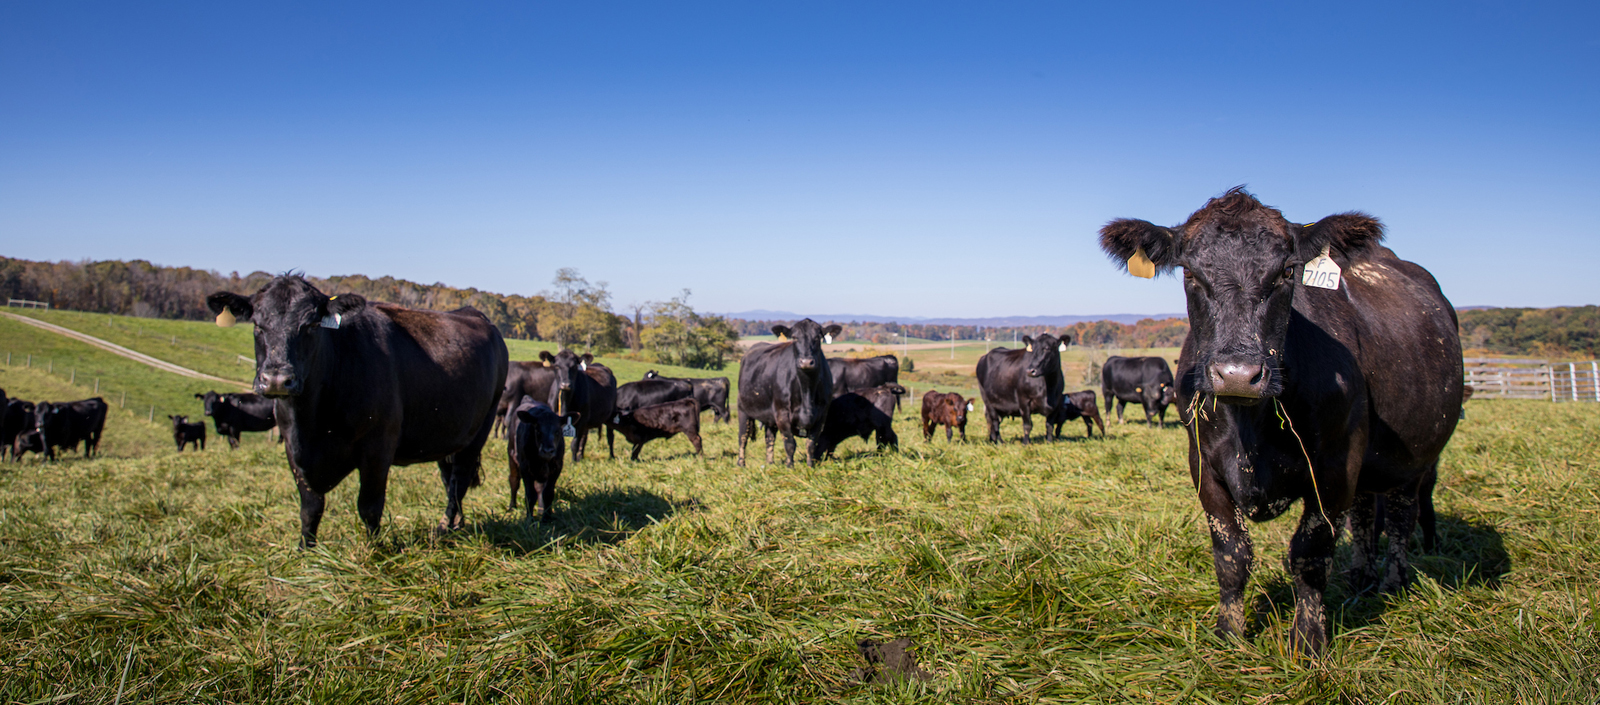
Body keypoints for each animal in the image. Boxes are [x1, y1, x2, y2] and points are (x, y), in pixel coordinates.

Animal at [207, 274, 508, 547]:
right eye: (257, 325)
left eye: (311, 325)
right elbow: (310, 508)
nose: (277, 379)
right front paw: (305, 551)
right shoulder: (294, 450)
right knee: (449, 478)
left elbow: (369, 506)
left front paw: (374, 552)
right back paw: (455, 523)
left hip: (480, 429)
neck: (312, 419)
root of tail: (476, 315)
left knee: (460, 479)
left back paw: (446, 526)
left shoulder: (378, 446)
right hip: (446, 434)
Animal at [737, 318, 842, 467]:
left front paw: (810, 466)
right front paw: (790, 467)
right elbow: (790, 443)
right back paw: (741, 463)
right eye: (794, 337)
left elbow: (811, 444)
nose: (806, 362)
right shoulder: (782, 413)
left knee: (769, 437)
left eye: (817, 337)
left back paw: (770, 463)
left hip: (769, 416)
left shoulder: (821, 415)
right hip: (743, 409)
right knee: (743, 436)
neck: (806, 390)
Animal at [1099, 187, 1463, 655]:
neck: (1249, 431)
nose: (1238, 373)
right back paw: (1361, 577)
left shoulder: (1336, 467)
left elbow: (1310, 554)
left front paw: (1308, 642)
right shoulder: (1203, 465)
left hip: (1416, 457)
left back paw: (1391, 582)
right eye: (1190, 274)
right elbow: (1231, 554)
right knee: (1367, 514)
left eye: (1288, 271)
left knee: (1401, 516)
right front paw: (1229, 634)